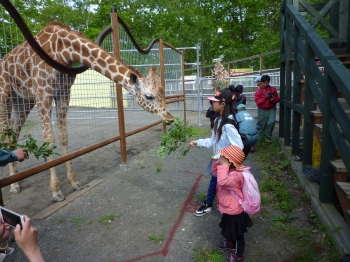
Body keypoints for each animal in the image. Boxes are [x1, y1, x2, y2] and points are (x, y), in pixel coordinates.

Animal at [0, 23, 175, 203]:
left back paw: (17, 179)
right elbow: (49, 140)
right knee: (6, 136)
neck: (62, 50)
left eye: (163, 93)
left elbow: (63, 136)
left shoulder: (64, 92)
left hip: (23, 101)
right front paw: (56, 191)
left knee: (14, 134)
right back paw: (13, 185)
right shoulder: (43, 92)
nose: (170, 117)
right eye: (148, 96)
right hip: (5, 94)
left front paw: (74, 182)